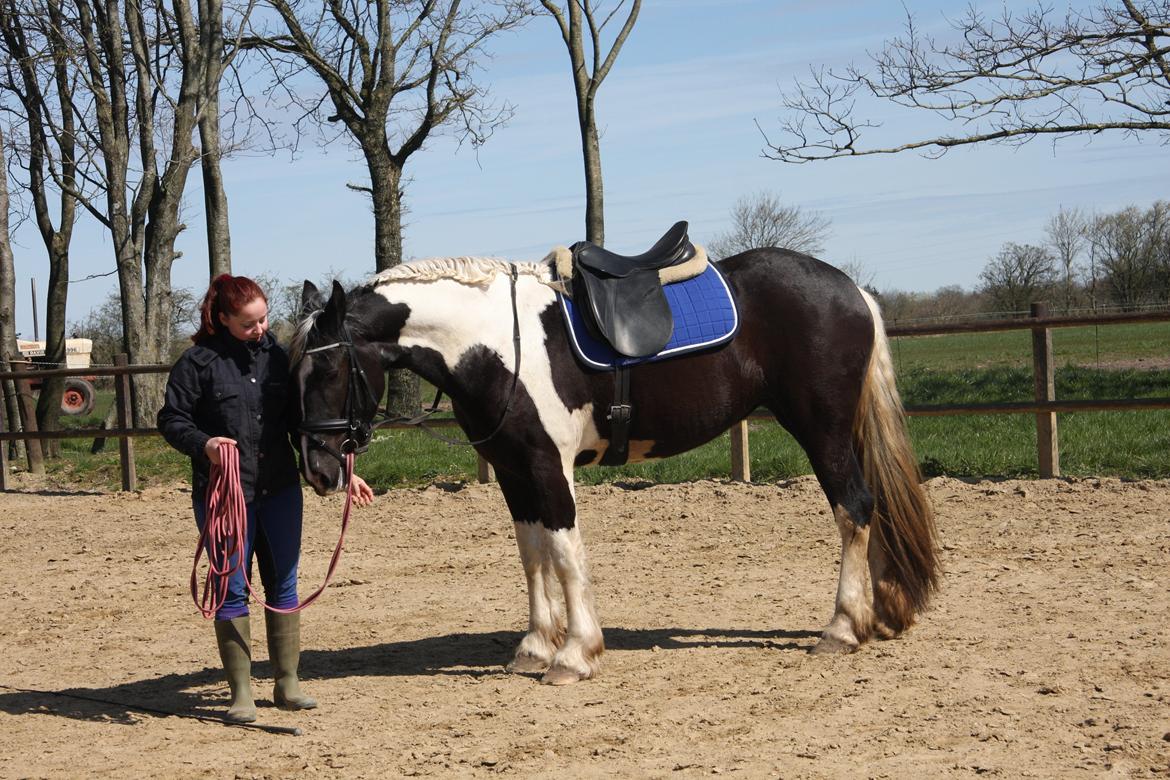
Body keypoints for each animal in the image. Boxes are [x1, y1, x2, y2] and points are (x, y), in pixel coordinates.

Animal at [292, 246, 940, 687]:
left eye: (326, 370)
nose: (318, 472)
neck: (498, 344)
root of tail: (851, 289)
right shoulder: (514, 473)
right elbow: (533, 556)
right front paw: (535, 645)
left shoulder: (549, 469)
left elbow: (566, 555)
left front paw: (575, 654)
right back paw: (880, 615)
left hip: (821, 430)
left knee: (854, 509)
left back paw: (842, 627)